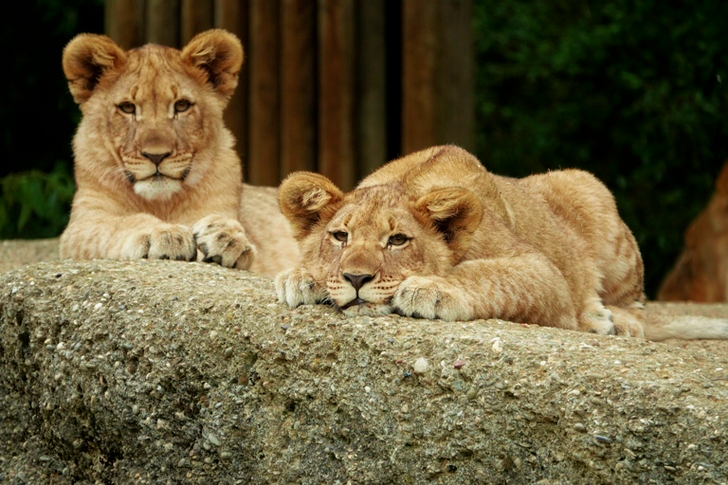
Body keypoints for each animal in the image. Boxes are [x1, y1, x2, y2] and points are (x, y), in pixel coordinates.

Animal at [59, 29, 298, 276]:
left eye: (181, 106)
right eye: (127, 107)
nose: (156, 155)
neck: (160, 203)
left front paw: (228, 237)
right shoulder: (81, 226)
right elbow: (116, 225)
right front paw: (162, 233)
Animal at [276, 145, 728, 341]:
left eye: (398, 240)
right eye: (340, 236)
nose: (356, 278)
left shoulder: (542, 271)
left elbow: (486, 275)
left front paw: (430, 289)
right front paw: (300, 277)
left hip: (591, 193)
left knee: (636, 306)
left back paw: (609, 321)